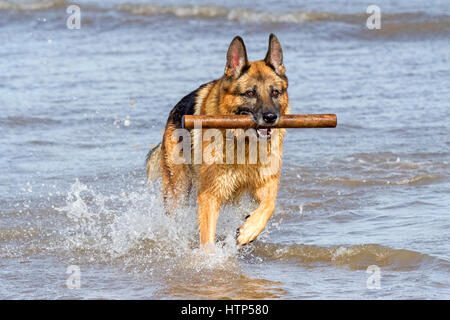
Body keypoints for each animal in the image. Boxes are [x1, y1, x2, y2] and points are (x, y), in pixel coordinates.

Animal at [146, 34, 290, 248]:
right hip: (177, 190)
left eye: (275, 93)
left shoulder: (266, 187)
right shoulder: (210, 195)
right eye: (250, 93)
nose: (271, 117)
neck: (244, 143)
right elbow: (207, 239)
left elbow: (270, 205)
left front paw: (249, 230)